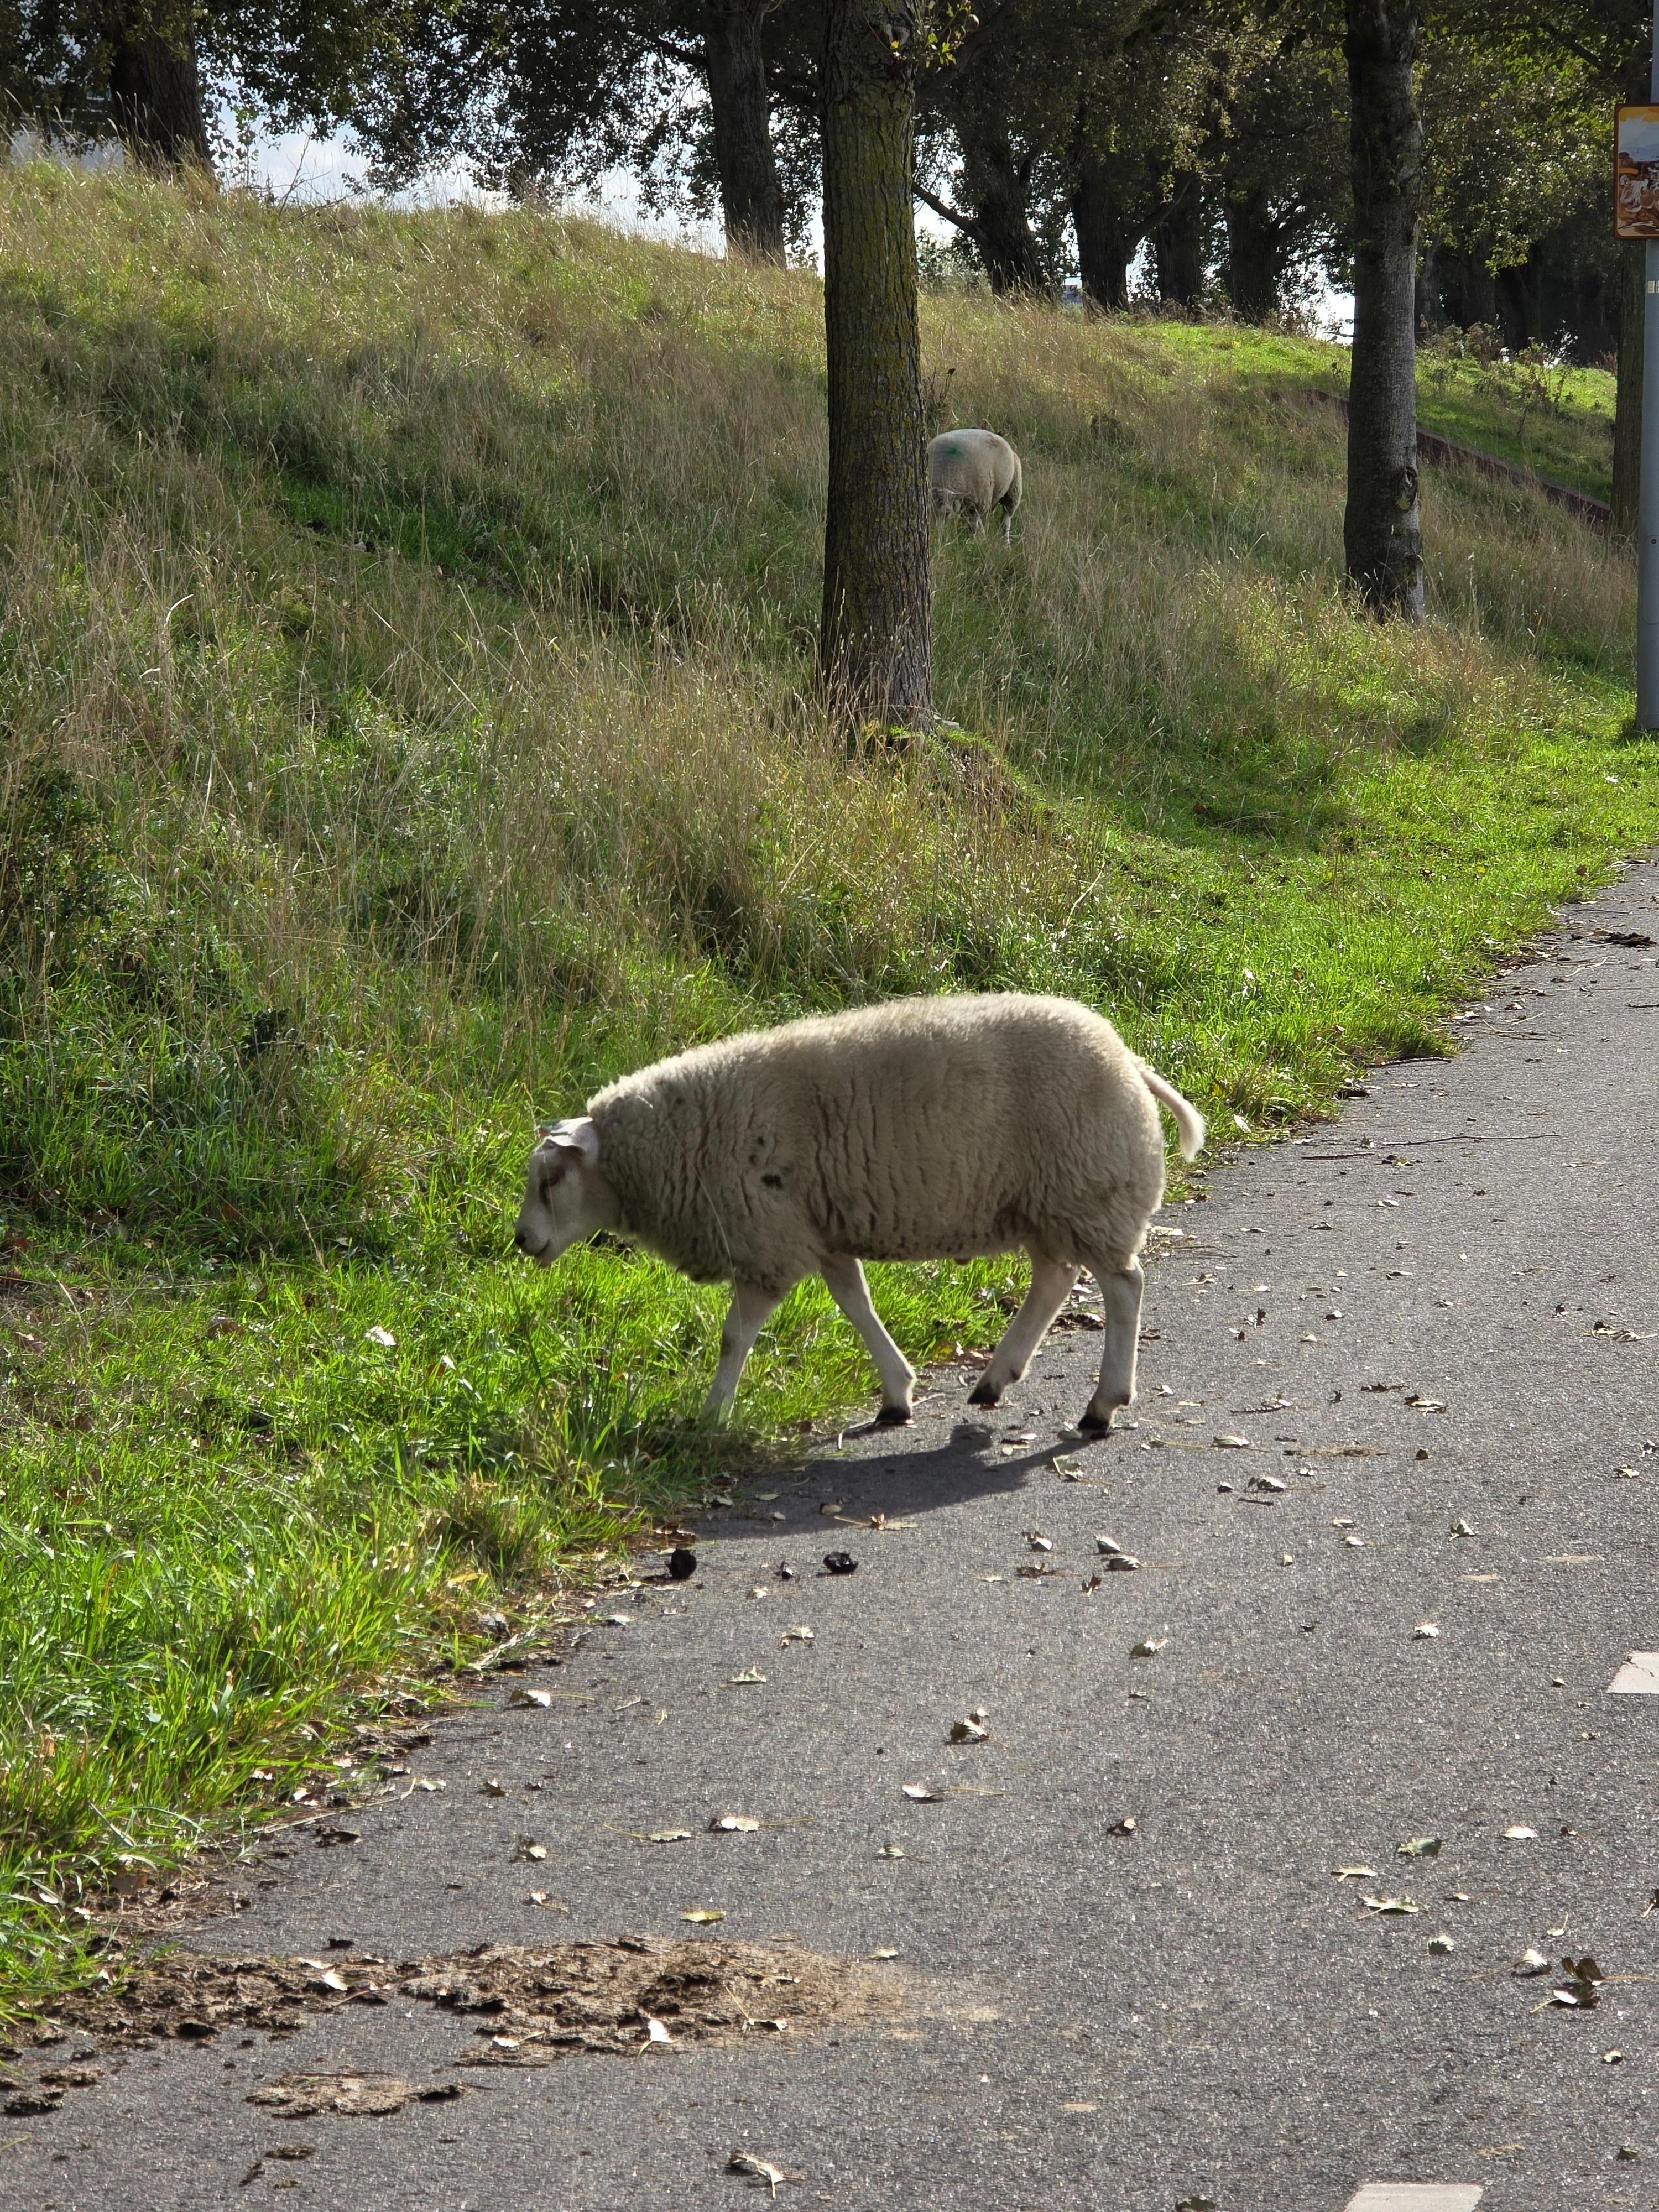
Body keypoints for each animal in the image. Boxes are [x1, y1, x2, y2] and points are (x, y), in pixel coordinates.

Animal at [514, 992, 1203, 1438]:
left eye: (551, 1179)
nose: (522, 1241)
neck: (679, 1139)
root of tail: (1128, 1058)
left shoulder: (766, 1240)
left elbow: (735, 1335)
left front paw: (710, 1416)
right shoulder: (819, 1230)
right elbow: (855, 1303)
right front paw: (897, 1393)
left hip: (1088, 1189)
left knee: (1123, 1285)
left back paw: (1103, 1404)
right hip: (1048, 1201)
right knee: (1056, 1278)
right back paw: (996, 1378)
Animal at [928, 428, 1022, 541]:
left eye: (947, 512)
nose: (936, 532)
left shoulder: (978, 503)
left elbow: (974, 526)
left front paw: (974, 541)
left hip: (1013, 493)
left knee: (1006, 521)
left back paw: (1006, 542)